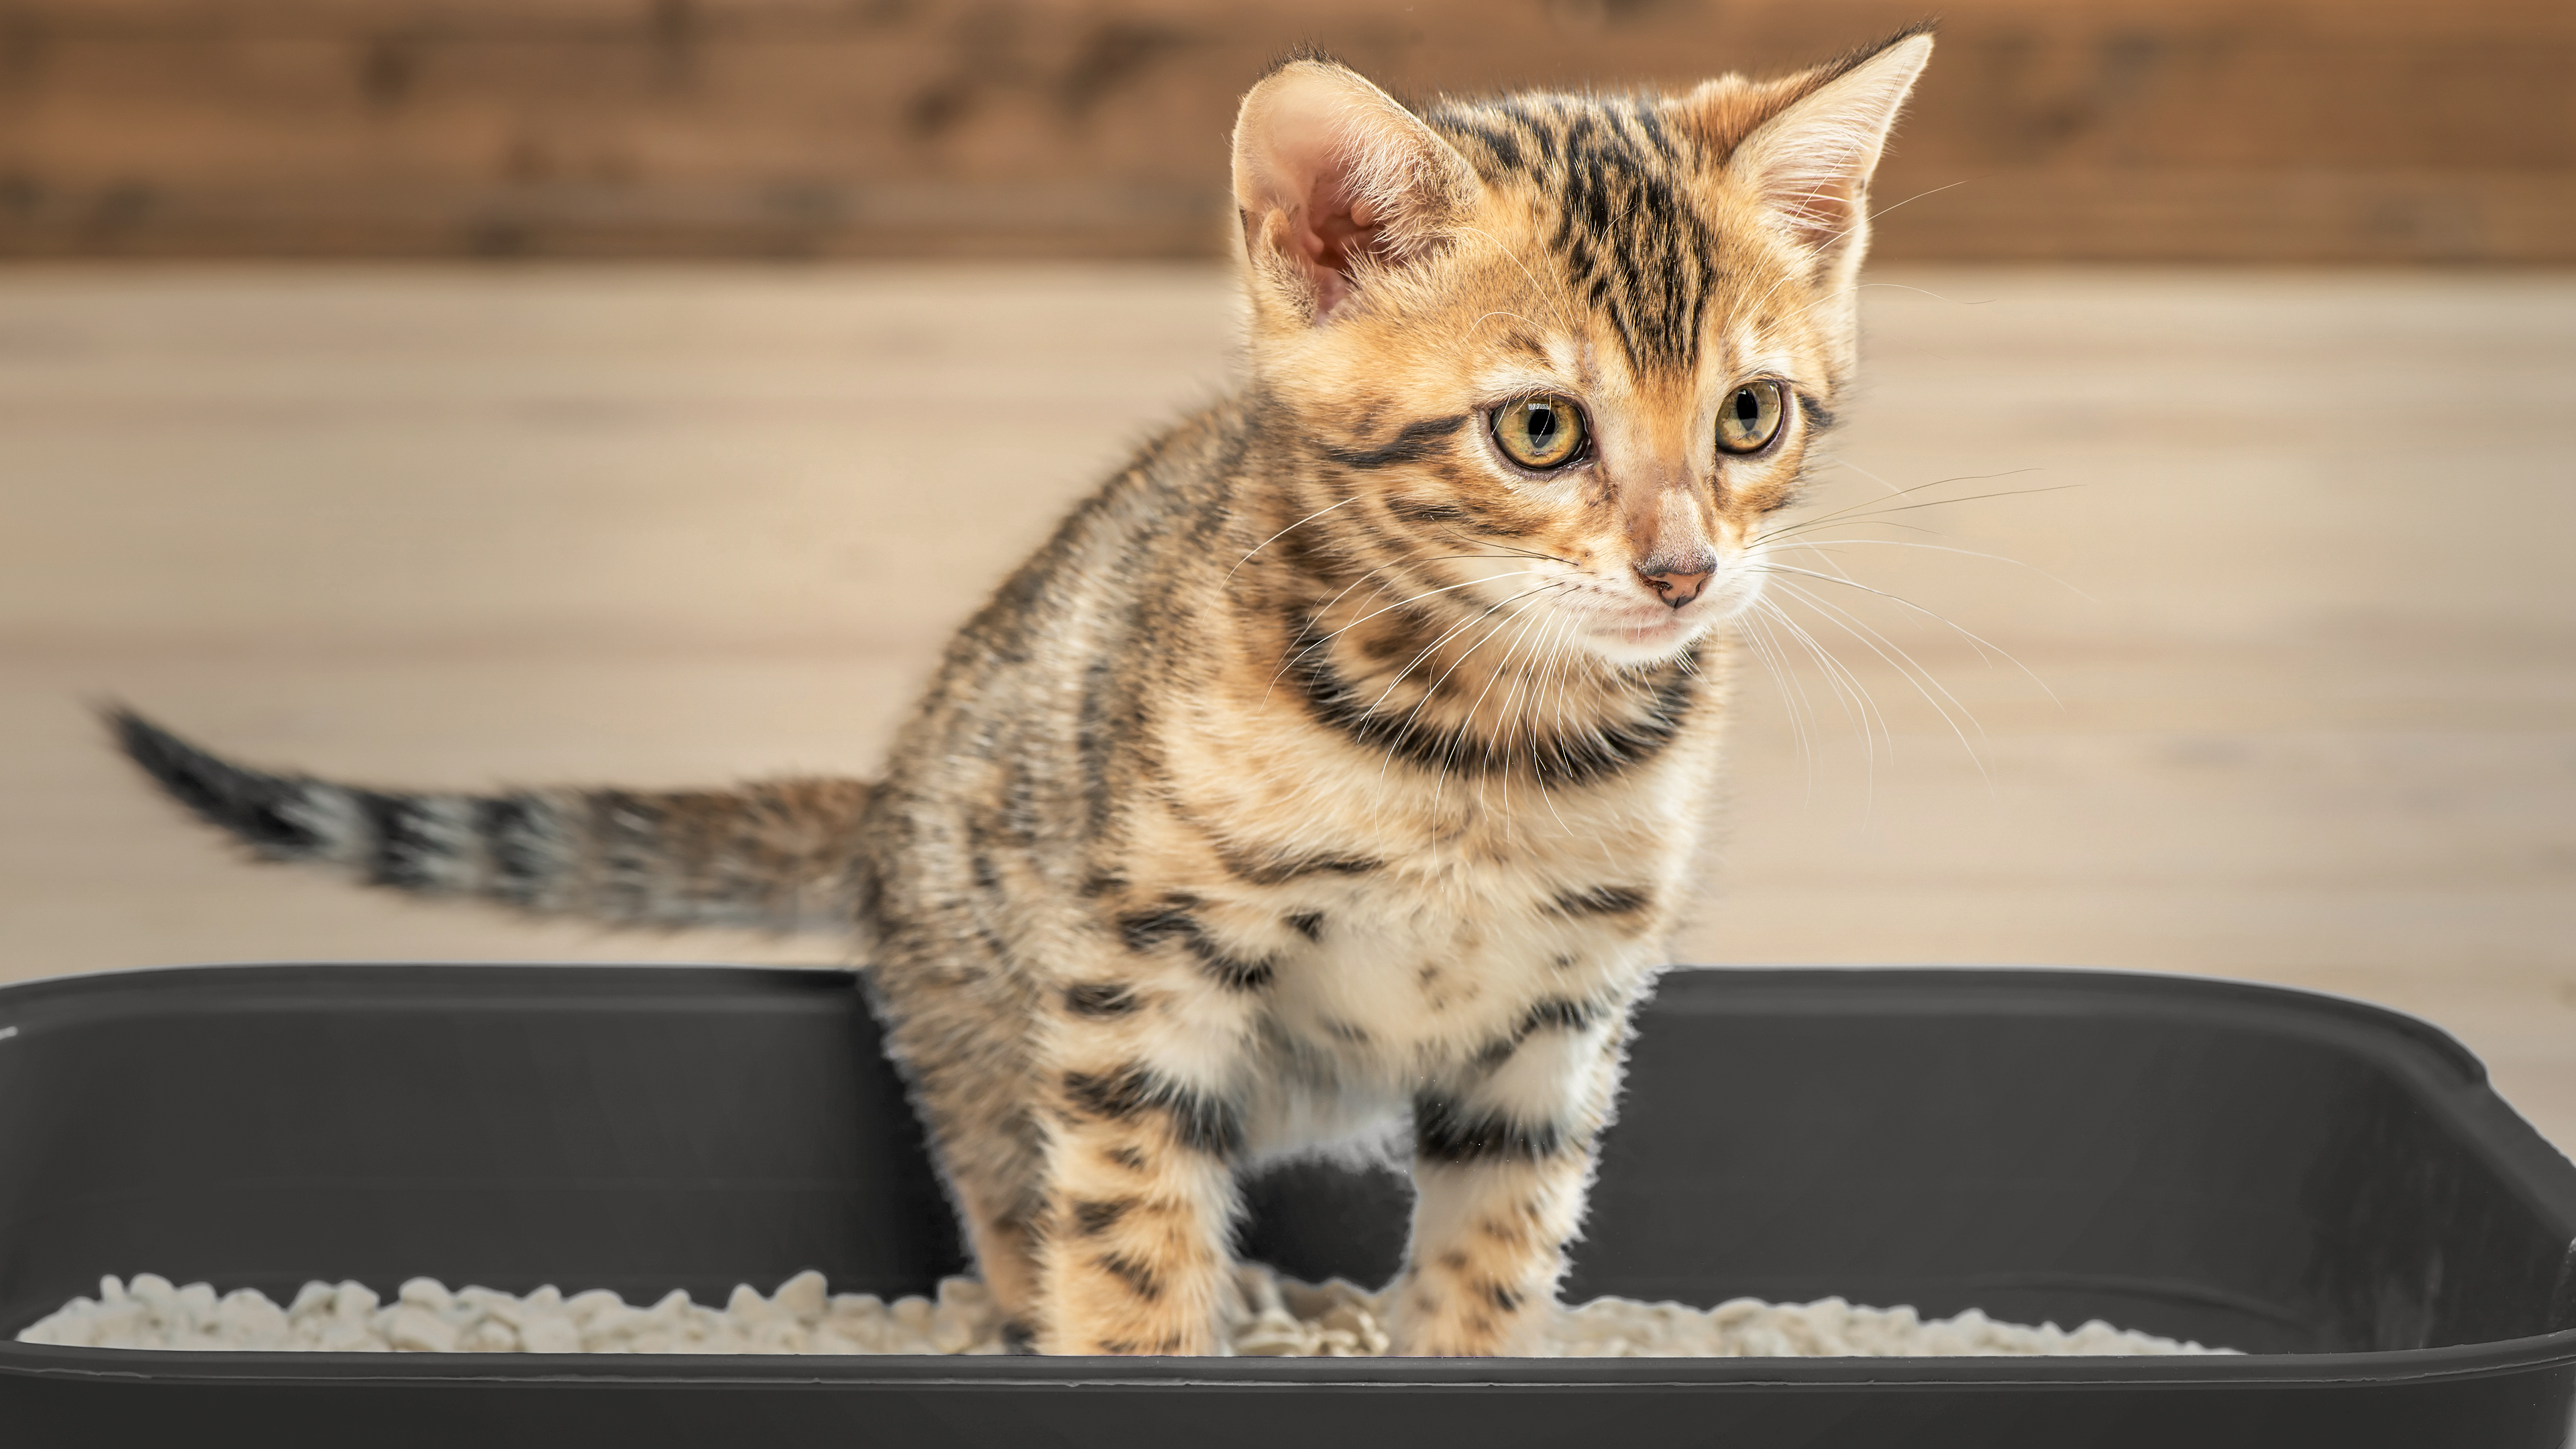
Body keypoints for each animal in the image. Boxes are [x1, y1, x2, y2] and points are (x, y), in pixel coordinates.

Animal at [115, 25, 1937, 1350]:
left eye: (1750, 417)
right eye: (1540, 429)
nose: (1682, 571)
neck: (1487, 741)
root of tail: (883, 793)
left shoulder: (1559, 1017)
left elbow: (1498, 1241)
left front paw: (1451, 1354)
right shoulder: (1142, 956)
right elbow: (1126, 1219)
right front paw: (1138, 1344)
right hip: (1000, 968)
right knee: (1013, 1157)